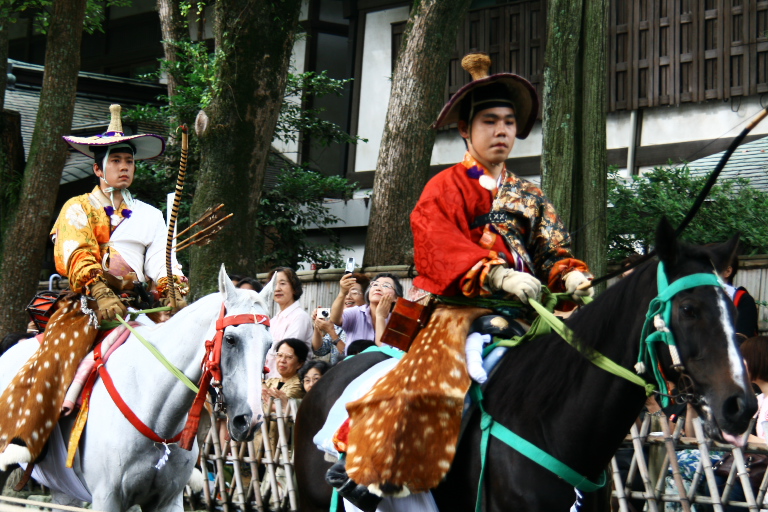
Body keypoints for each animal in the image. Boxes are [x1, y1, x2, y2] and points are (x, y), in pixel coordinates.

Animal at [0, 266, 272, 510]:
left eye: (269, 345)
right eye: (231, 339)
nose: (250, 420)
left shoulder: (168, 500)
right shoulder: (107, 497)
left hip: (63, 487)